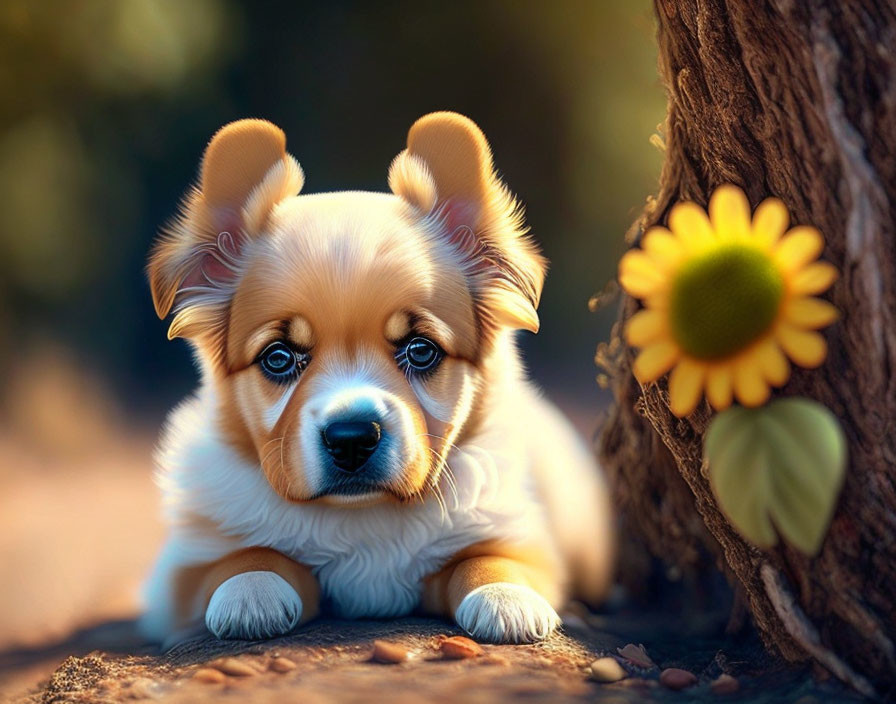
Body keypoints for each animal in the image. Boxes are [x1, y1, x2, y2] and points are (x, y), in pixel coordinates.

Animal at [140, 113, 616, 648]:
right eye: (278, 358)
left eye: (421, 350)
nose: (351, 440)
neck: (364, 516)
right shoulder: (180, 574)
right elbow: (242, 556)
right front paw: (251, 590)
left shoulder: (521, 534)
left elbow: (492, 556)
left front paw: (505, 596)